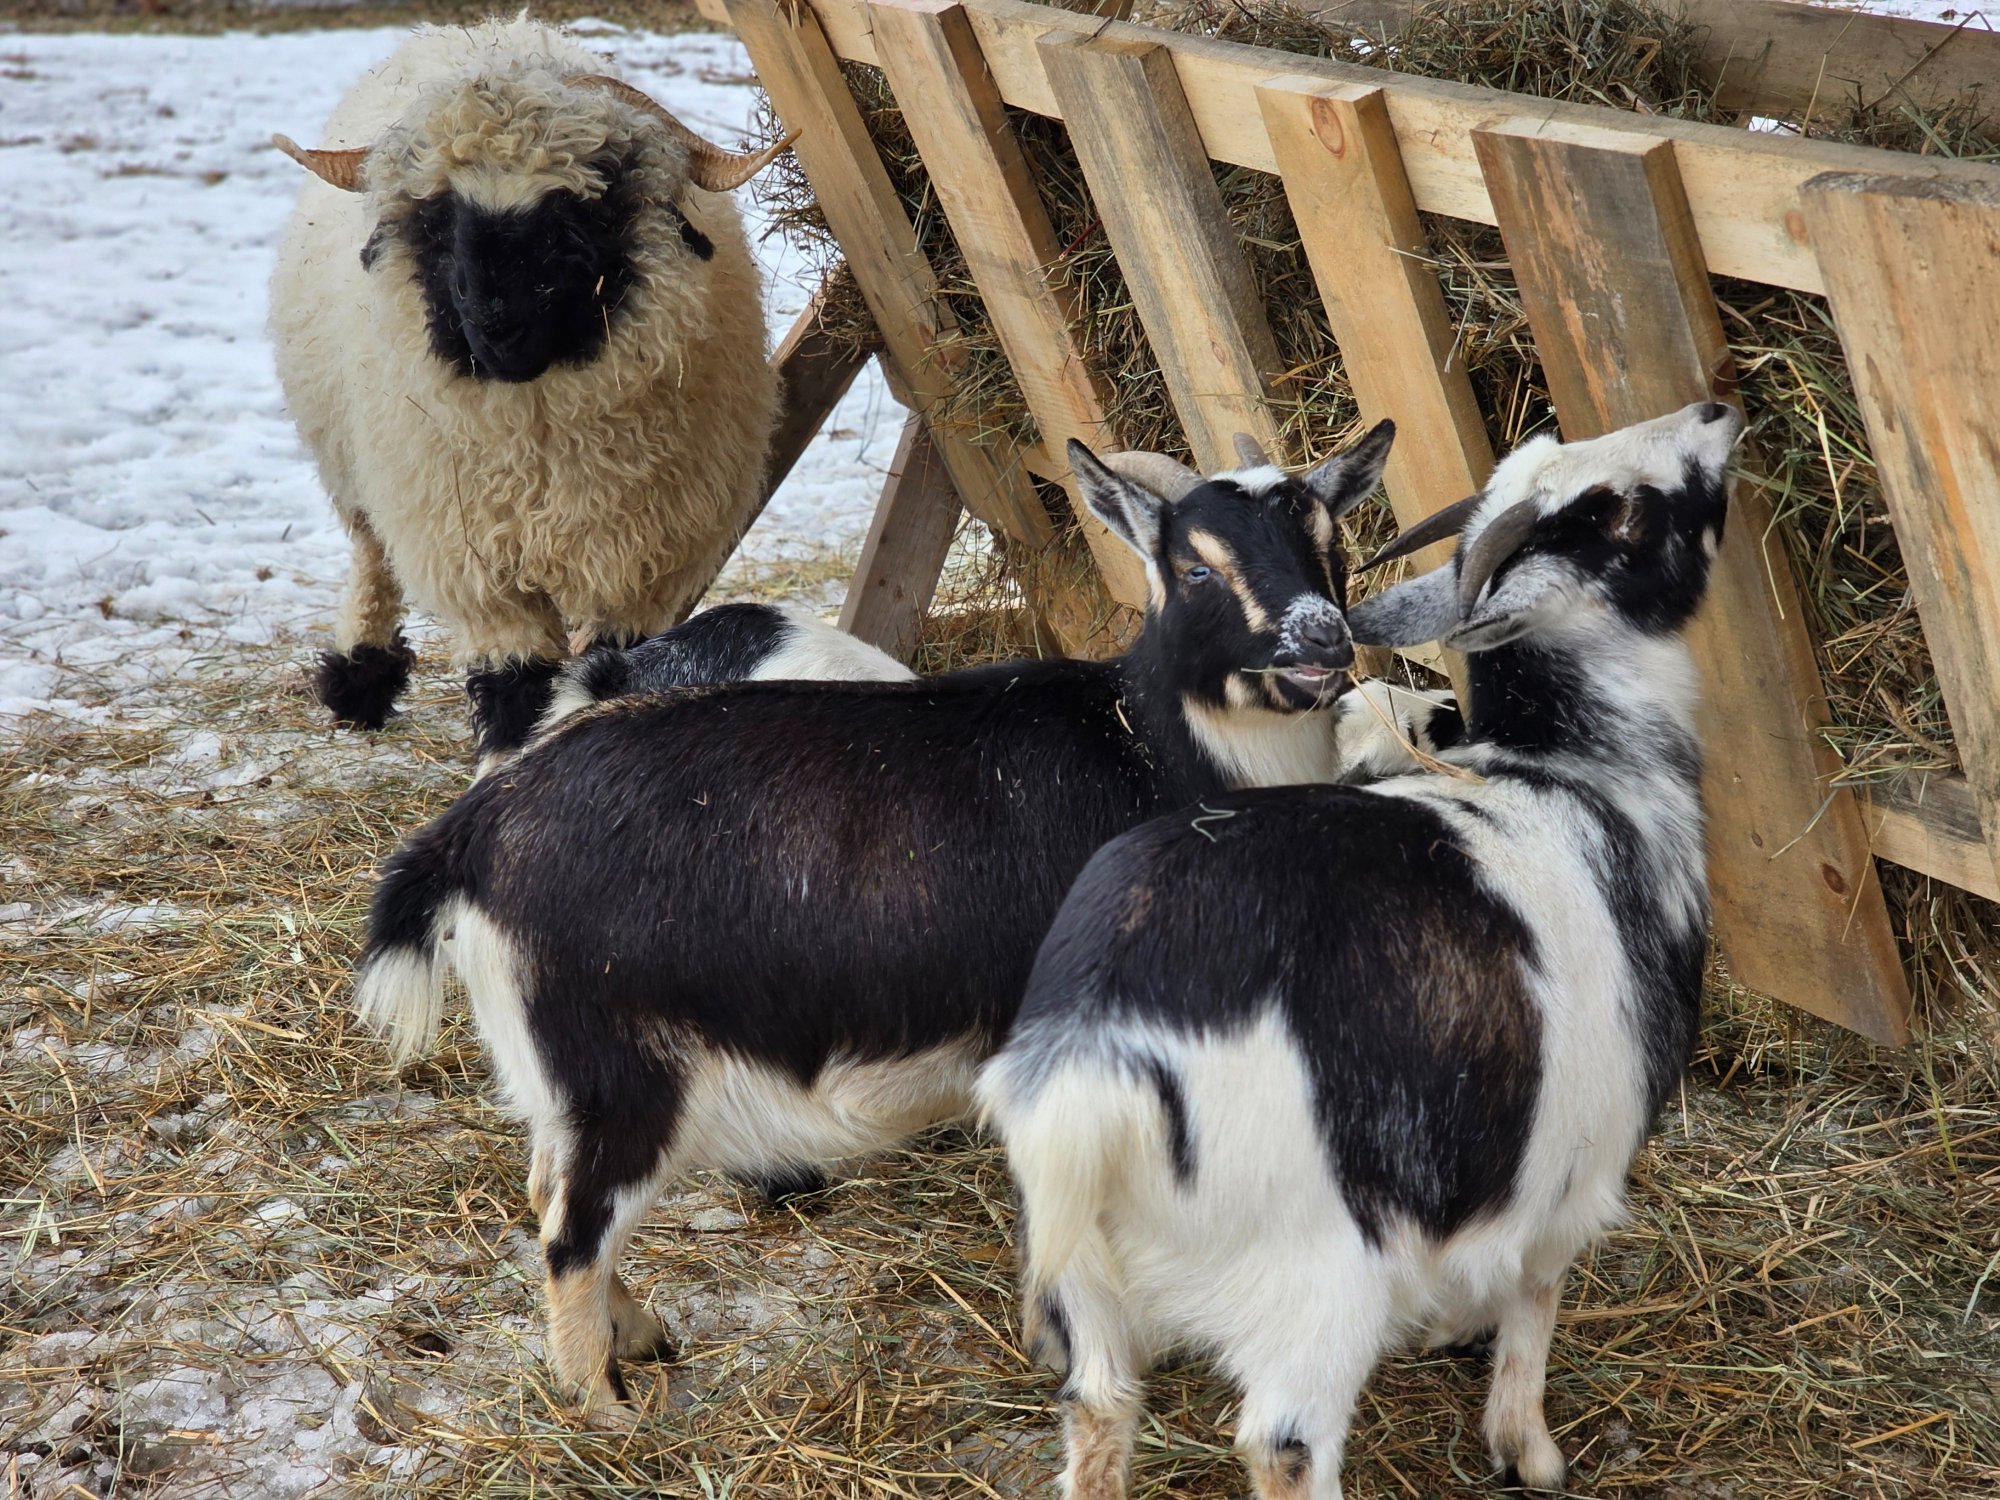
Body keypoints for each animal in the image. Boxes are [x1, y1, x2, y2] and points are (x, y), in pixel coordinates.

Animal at [267, 16, 796, 758]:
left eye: (578, 214)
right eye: (437, 219)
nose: (496, 324)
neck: (542, 450)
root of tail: (489, 28)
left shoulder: (640, 558)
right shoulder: (478, 561)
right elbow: (513, 683)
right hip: (362, 463)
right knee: (373, 554)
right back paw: (357, 678)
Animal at [347, 425, 1396, 1418]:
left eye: (1329, 540)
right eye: (1194, 566)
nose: (1320, 641)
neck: (1150, 747)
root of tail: (473, 833)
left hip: (557, 1070)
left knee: (547, 1192)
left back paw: (636, 1337)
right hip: (618, 1066)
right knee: (571, 1230)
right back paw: (607, 1413)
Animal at [978, 400, 1743, 1499]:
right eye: (1615, 515)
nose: (1714, 413)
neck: (1578, 770)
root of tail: (1091, 1076)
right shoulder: (1573, 1159)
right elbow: (1534, 1297)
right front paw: (1526, 1447)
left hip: (1090, 1289)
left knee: (1096, 1411)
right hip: (1314, 1283)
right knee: (1284, 1443)